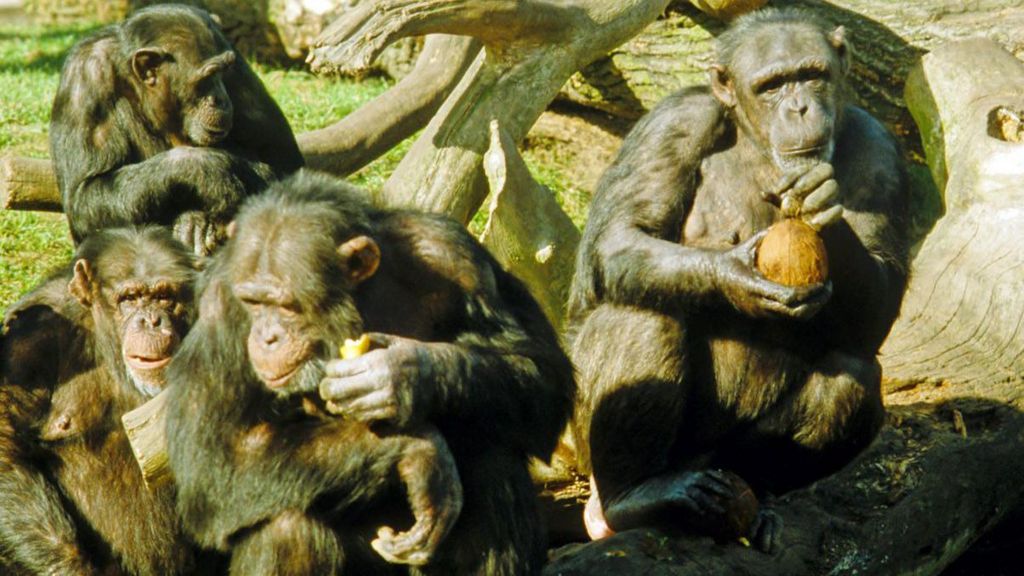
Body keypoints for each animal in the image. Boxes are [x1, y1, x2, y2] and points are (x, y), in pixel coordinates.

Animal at [0, 226, 205, 569]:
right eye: (129, 298)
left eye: (165, 297)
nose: (152, 320)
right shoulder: (28, 342)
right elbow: (7, 444)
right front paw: (67, 566)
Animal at [49, 2, 301, 253]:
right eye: (207, 76)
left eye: (223, 71)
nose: (220, 98)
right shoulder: (84, 76)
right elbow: (84, 192)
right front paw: (207, 170)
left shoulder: (237, 61)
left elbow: (283, 159)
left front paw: (196, 221)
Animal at [163, 171, 573, 573]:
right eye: (252, 303)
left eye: (287, 306)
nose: (266, 337)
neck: (355, 301)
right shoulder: (220, 307)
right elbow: (215, 459)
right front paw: (419, 449)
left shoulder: (456, 256)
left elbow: (538, 370)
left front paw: (403, 373)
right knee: (288, 527)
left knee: (494, 460)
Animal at [569, 6, 913, 549]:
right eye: (771, 85)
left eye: (812, 75)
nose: (798, 107)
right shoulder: (670, 125)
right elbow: (621, 235)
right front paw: (737, 278)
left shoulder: (883, 153)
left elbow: (879, 302)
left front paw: (818, 204)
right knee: (640, 309)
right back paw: (637, 496)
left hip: (721, 460)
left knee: (851, 381)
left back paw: (755, 505)